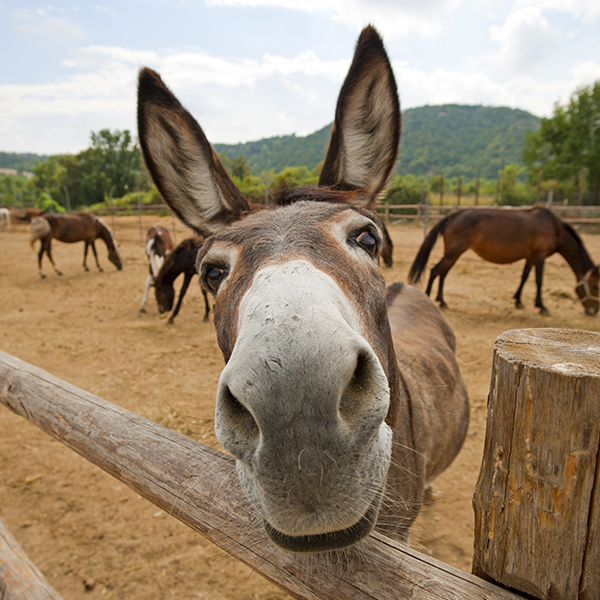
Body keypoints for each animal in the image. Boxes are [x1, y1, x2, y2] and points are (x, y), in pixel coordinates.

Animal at [408, 206, 600, 316]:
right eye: (596, 287)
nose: (594, 310)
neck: (554, 228)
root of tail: (451, 217)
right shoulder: (540, 256)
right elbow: (539, 281)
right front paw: (541, 306)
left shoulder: (530, 257)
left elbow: (524, 277)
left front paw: (518, 301)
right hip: (454, 253)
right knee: (435, 271)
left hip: (453, 254)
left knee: (443, 273)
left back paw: (442, 301)